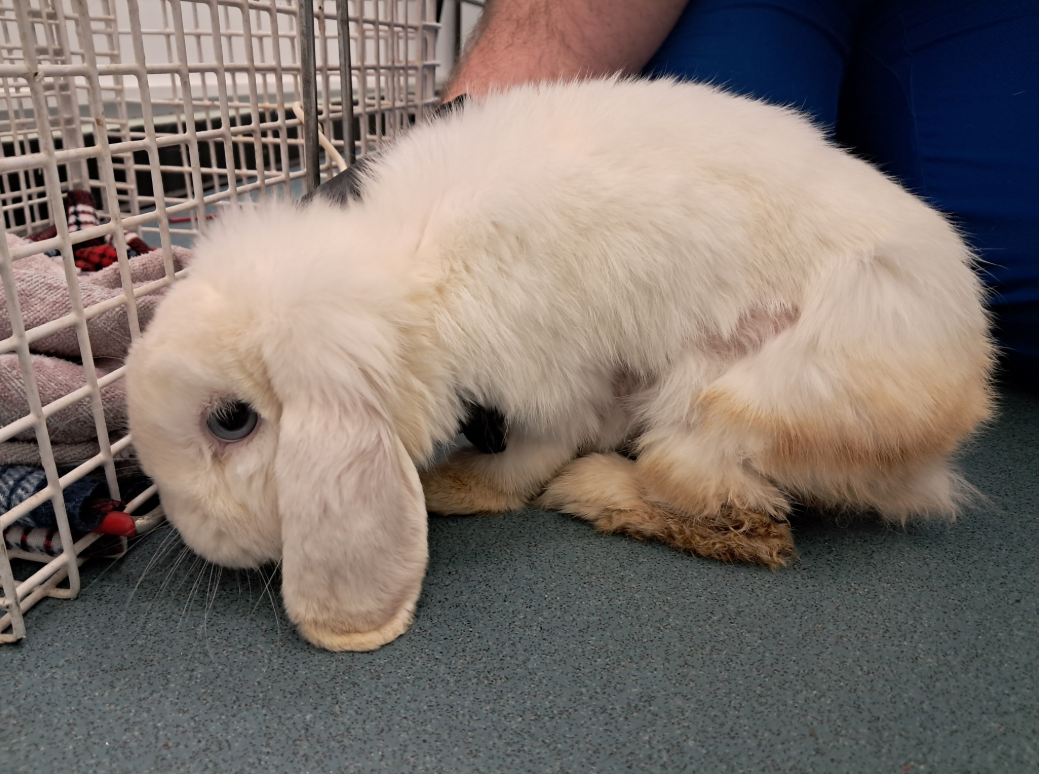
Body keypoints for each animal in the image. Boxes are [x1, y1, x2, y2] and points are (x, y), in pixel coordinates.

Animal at [125, 77, 994, 652]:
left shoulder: (548, 379)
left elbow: (532, 455)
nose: (197, 538)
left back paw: (595, 490)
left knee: (727, 509)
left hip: (735, 394)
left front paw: (461, 489)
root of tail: (943, 432)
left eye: (231, 420)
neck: (411, 279)